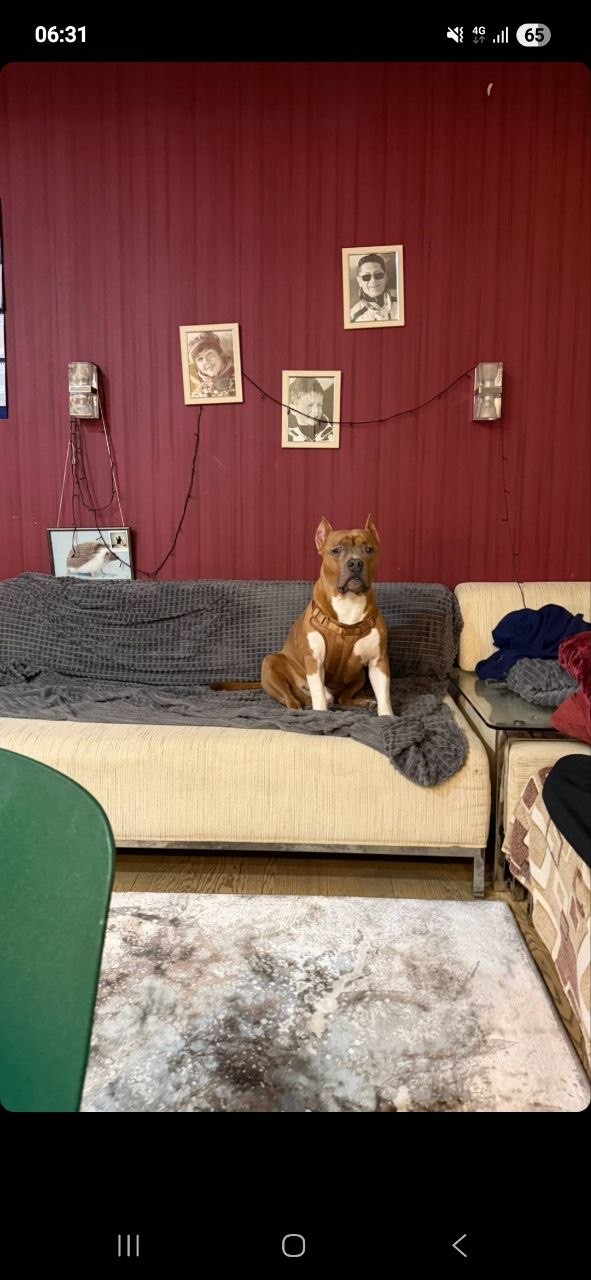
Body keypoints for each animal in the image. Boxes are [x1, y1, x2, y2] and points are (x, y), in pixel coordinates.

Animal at [261, 516, 394, 714]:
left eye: (369, 550)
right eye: (336, 550)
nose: (355, 563)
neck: (349, 602)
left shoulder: (378, 661)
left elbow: (384, 696)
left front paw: (387, 716)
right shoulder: (314, 661)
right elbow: (319, 695)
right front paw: (321, 714)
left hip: (360, 676)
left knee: (344, 698)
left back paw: (363, 702)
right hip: (270, 663)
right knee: (289, 696)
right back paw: (296, 707)